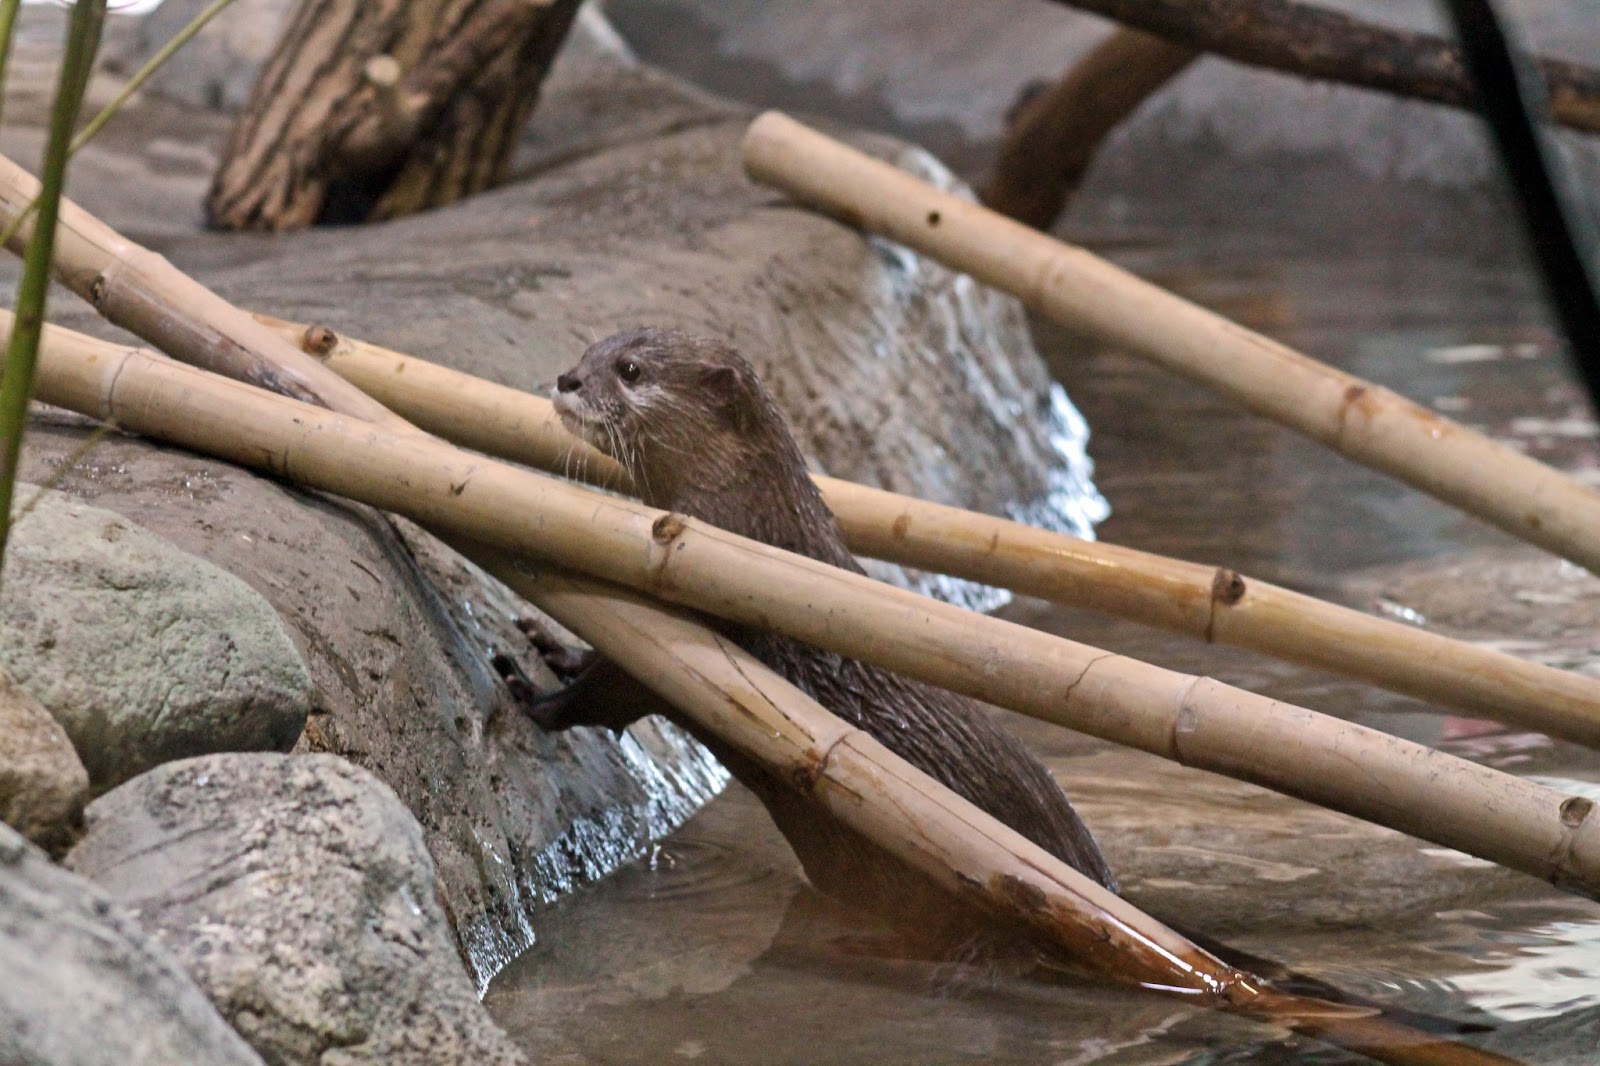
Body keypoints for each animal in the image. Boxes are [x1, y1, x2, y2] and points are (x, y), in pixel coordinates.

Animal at [532, 326, 1114, 938]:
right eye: (591, 350)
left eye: (630, 369)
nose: (568, 379)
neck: (750, 541)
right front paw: (557, 650)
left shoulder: (686, 633)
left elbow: (617, 690)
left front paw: (537, 700)